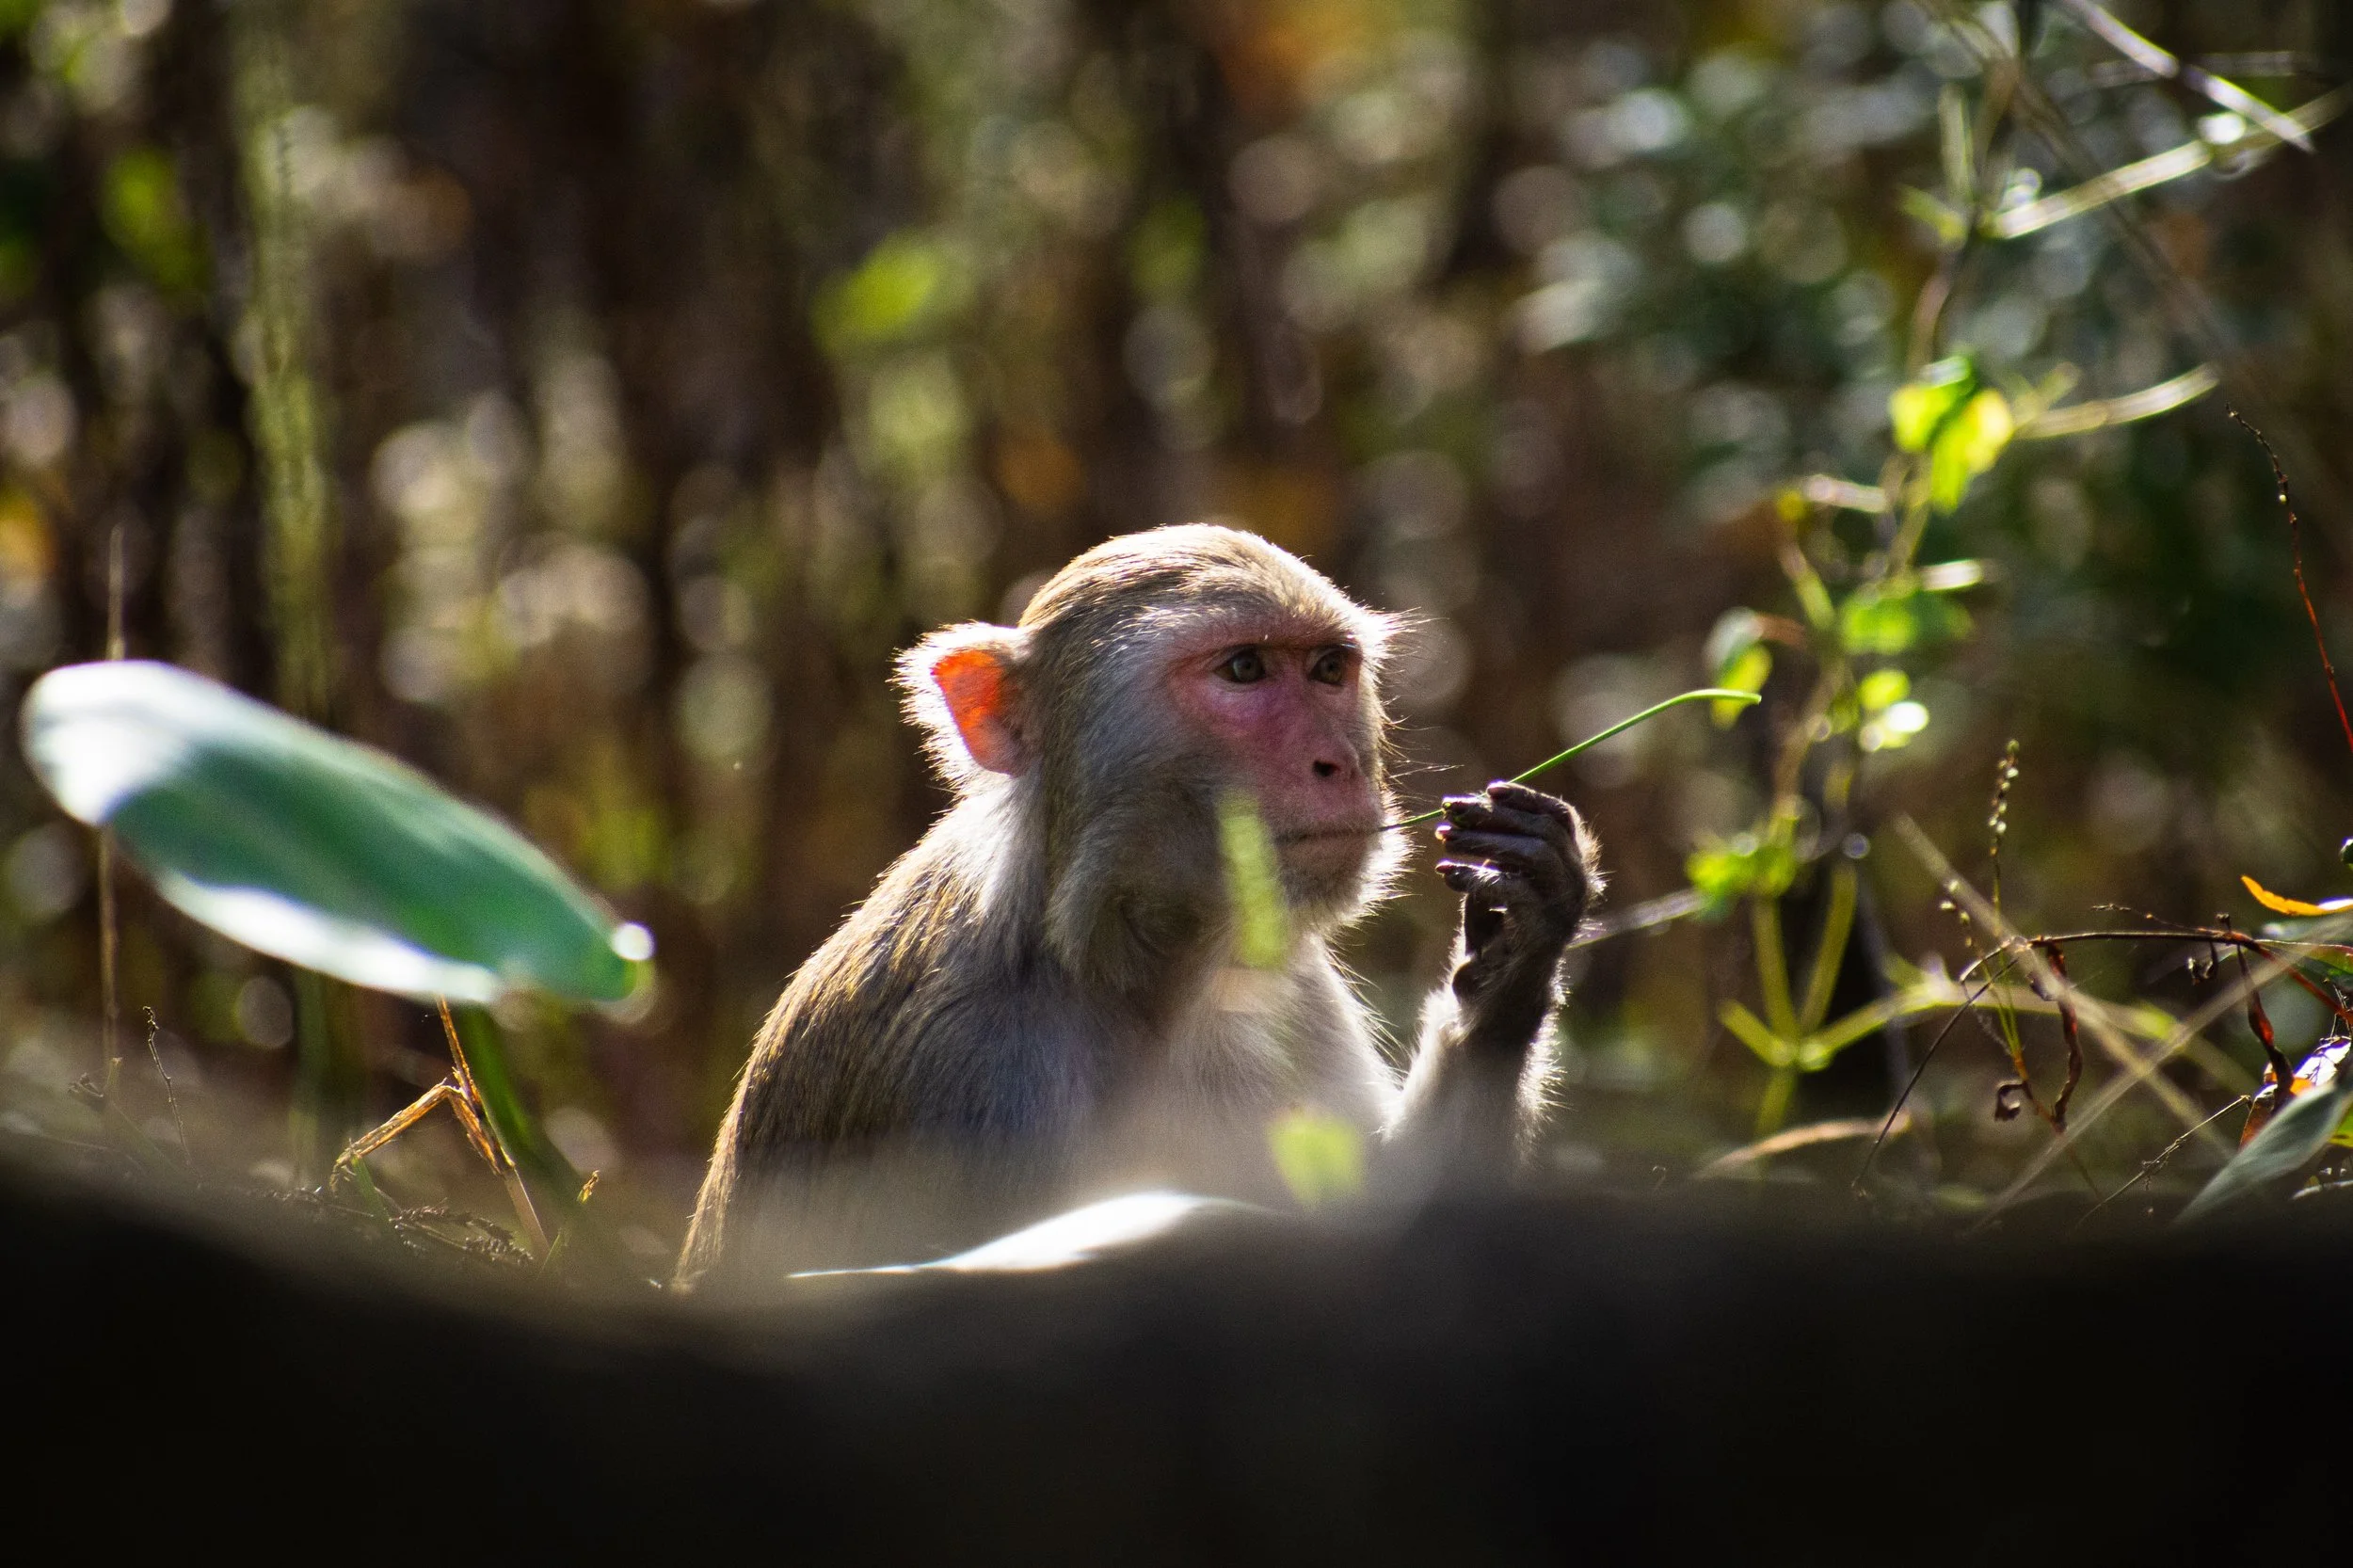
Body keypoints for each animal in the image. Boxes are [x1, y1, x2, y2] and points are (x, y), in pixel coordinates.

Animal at [679, 523, 1598, 1284]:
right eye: (1244, 669)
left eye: (1329, 670)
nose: (1339, 763)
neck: (1131, 964)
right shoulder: (976, 1081)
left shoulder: (1293, 992)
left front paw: (1515, 957)